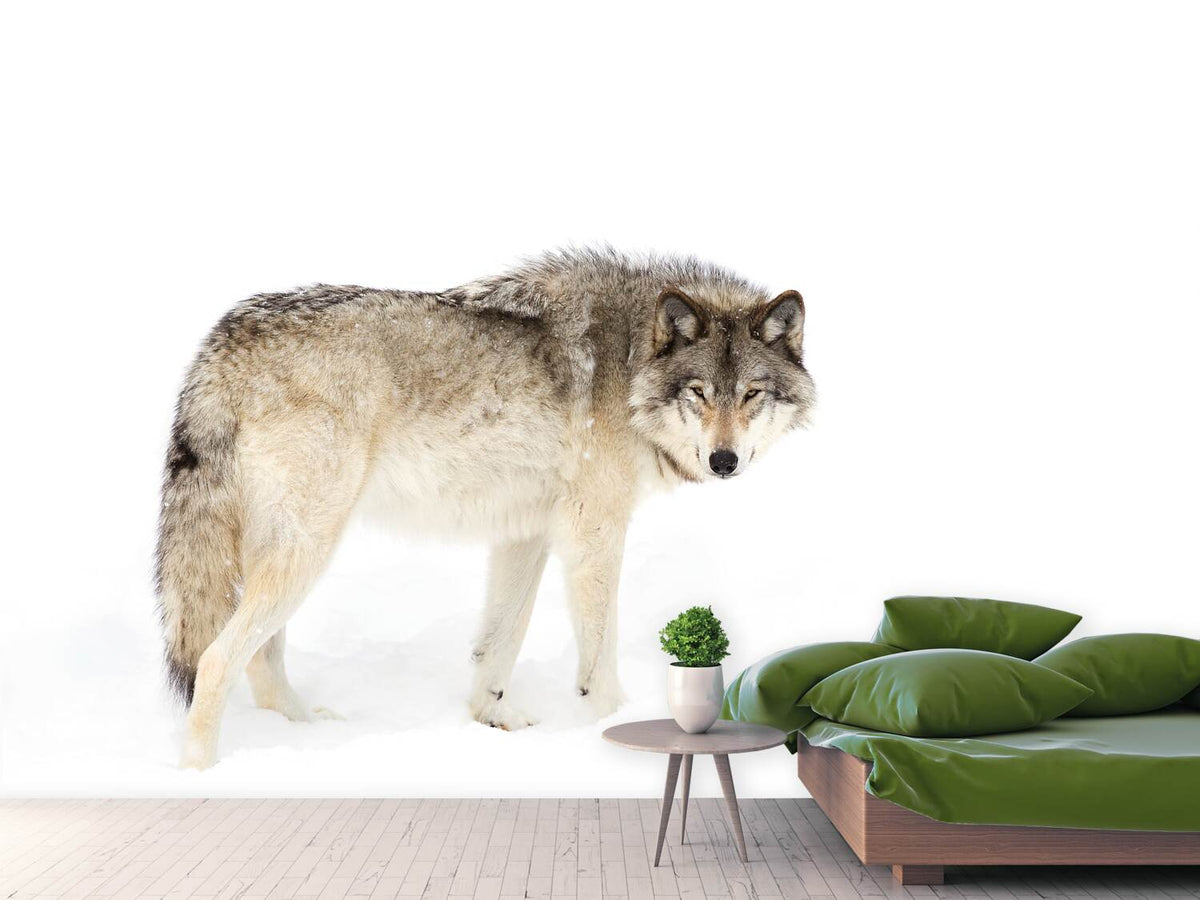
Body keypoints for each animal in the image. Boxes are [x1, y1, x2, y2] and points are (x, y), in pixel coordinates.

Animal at [156, 248, 815, 768]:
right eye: (698, 393)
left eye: (751, 394)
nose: (724, 461)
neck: (630, 361)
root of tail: (223, 338)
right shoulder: (593, 533)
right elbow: (598, 661)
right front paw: (603, 730)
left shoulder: (527, 533)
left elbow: (499, 643)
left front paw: (492, 720)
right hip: (307, 549)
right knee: (215, 661)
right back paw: (201, 775)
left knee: (262, 662)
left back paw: (308, 734)